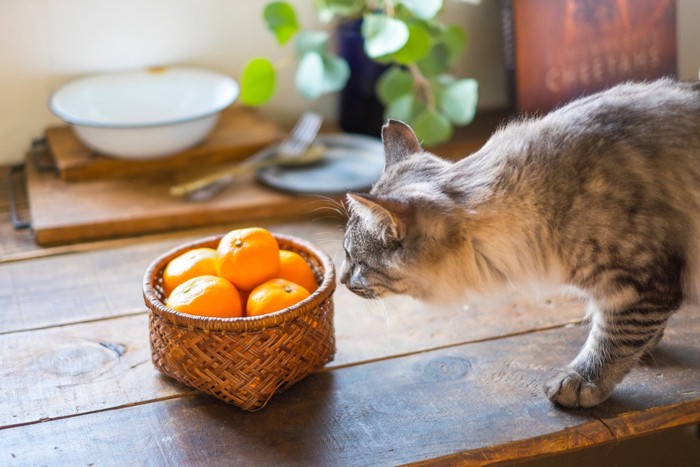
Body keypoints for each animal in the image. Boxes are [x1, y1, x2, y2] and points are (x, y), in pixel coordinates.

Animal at [340, 79, 700, 410]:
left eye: (355, 260)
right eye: (346, 256)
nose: (342, 279)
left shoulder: (642, 284)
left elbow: (611, 340)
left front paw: (582, 382)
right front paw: (647, 347)